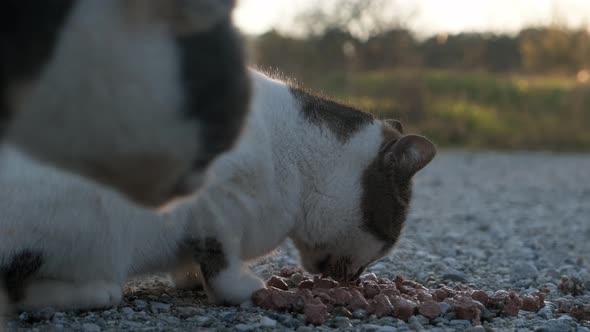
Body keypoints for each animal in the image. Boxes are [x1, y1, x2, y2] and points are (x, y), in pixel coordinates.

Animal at [0, 70, 434, 312]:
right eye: (388, 238)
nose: (358, 278)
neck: (298, 155)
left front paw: (189, 276)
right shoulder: (217, 202)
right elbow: (220, 260)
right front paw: (240, 288)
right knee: (28, 291)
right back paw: (94, 289)